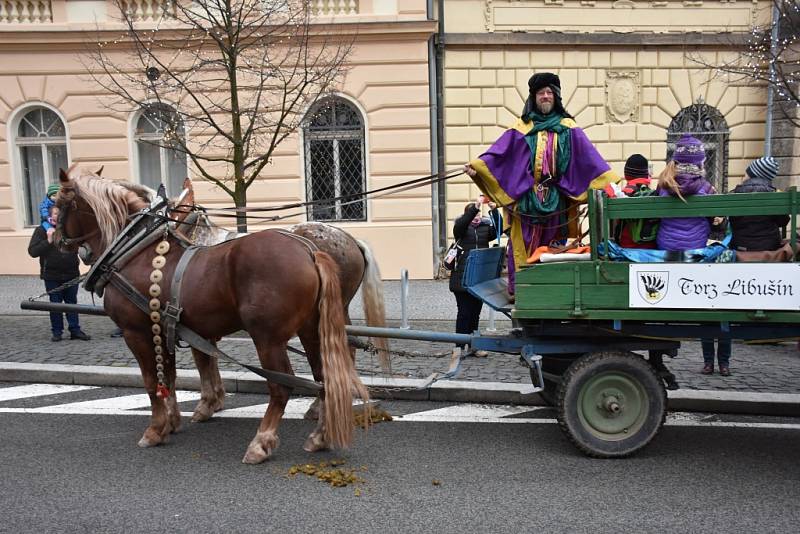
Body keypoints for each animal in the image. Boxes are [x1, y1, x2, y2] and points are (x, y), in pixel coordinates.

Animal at [53, 168, 372, 464]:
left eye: (58, 202)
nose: (54, 239)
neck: (136, 250)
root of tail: (309, 251)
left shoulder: (137, 332)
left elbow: (152, 380)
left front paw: (155, 430)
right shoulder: (168, 329)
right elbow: (170, 377)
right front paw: (173, 421)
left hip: (268, 338)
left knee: (281, 385)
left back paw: (261, 443)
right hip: (311, 330)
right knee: (325, 378)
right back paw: (320, 435)